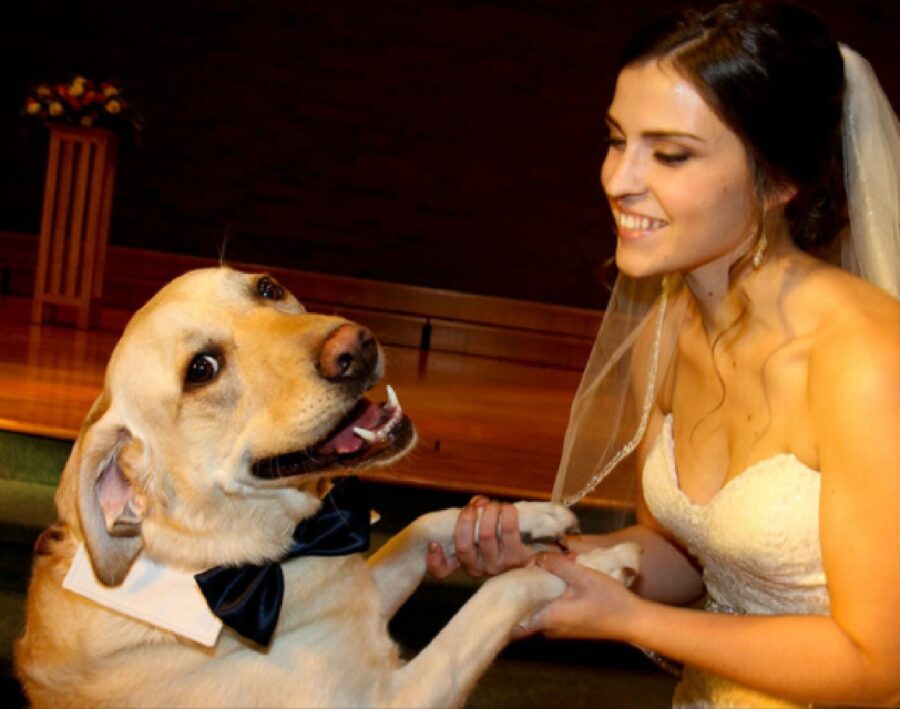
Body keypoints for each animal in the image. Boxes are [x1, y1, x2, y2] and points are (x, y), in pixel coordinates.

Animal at [10, 266, 636, 708]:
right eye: (201, 369)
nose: (354, 346)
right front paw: (590, 570)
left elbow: (422, 525)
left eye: (268, 287)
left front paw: (530, 517)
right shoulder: (395, 697)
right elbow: (496, 597)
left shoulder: (359, 592)